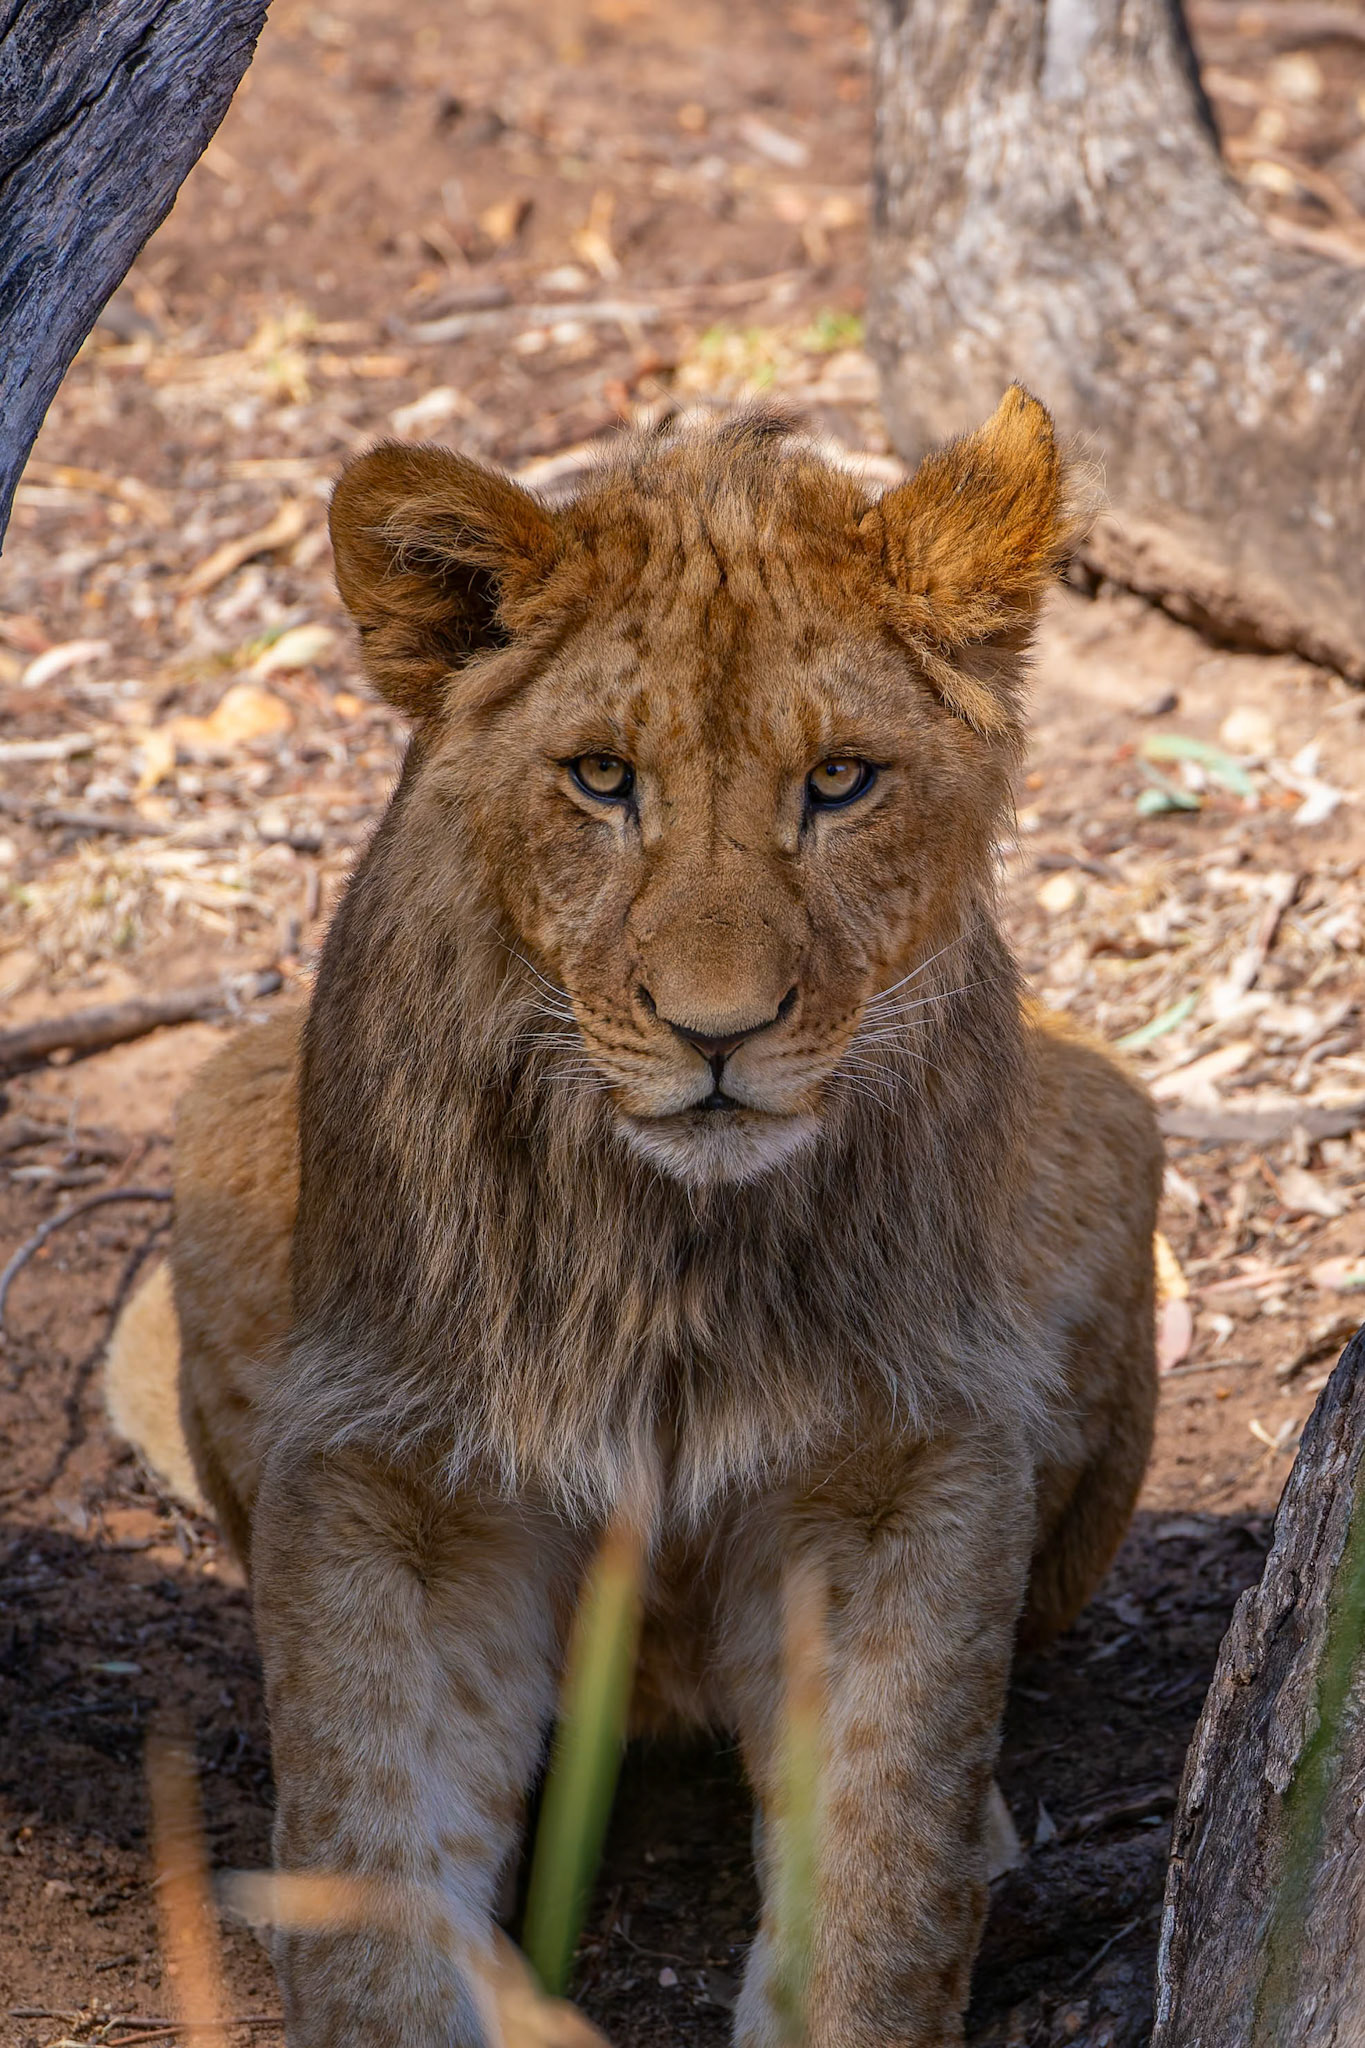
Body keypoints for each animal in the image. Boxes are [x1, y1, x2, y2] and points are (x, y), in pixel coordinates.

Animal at [106, 389, 1160, 2048]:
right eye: (602, 780)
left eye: (841, 781)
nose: (718, 1032)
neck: (669, 1254)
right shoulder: (391, 1480)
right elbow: (366, 1880)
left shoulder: (905, 1468)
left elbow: (882, 1869)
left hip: (1111, 1136)